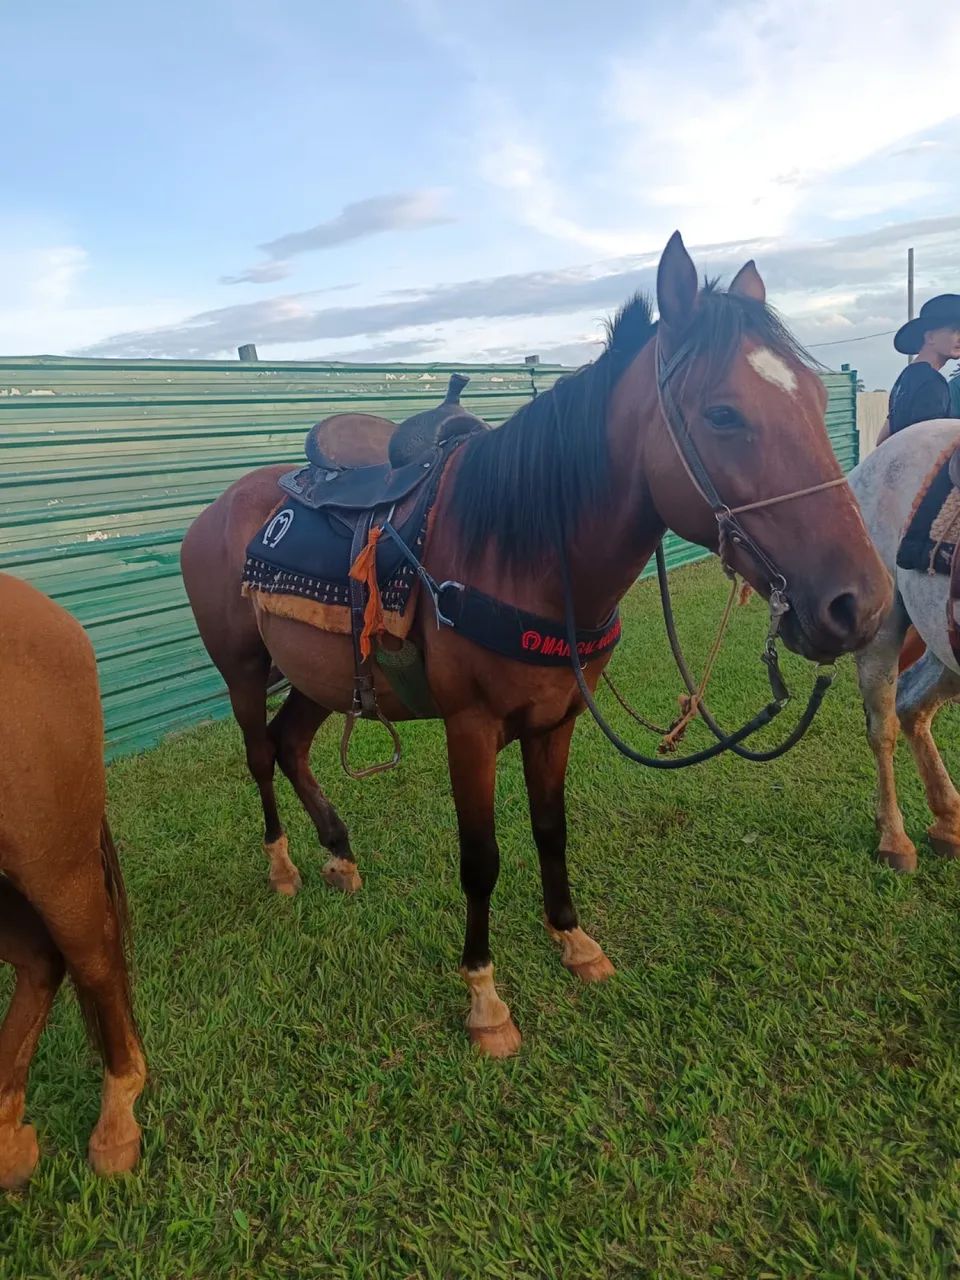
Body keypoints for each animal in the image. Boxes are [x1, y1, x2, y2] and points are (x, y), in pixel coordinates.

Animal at [181, 232, 890, 1057]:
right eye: (723, 413)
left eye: (814, 397)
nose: (860, 603)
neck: (520, 553)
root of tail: (220, 508)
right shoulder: (470, 729)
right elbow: (481, 861)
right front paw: (484, 999)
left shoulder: (556, 721)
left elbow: (552, 832)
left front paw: (573, 942)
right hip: (242, 669)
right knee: (260, 754)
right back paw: (283, 866)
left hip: (317, 676)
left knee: (291, 743)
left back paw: (338, 853)